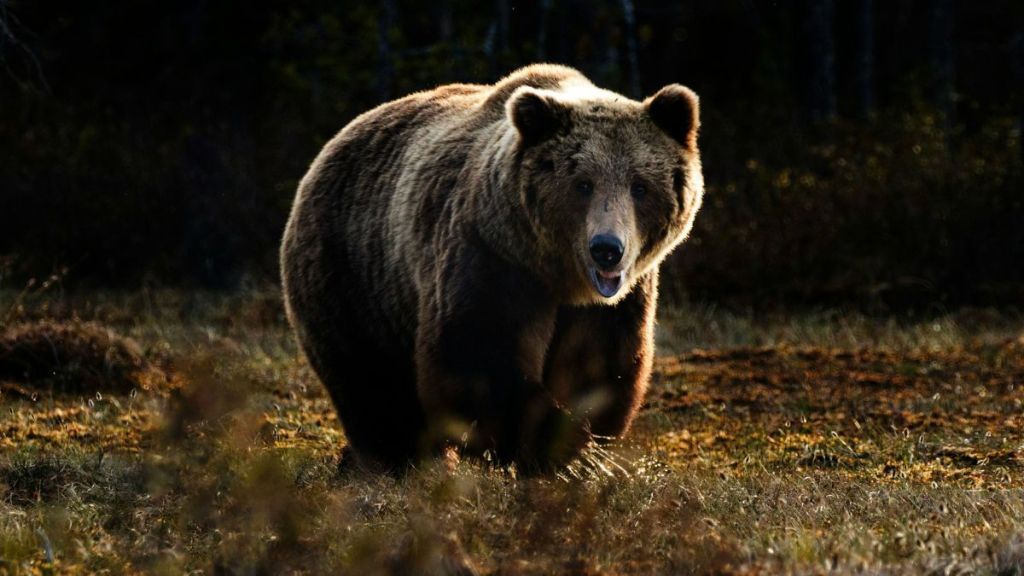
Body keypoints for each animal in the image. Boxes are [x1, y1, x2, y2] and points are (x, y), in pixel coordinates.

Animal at [280, 63, 704, 471]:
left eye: (640, 186)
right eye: (582, 184)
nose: (607, 249)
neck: (558, 275)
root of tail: (331, 144)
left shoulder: (616, 302)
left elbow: (599, 366)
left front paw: (581, 445)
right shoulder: (491, 258)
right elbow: (477, 356)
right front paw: (556, 447)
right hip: (353, 274)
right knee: (371, 382)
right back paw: (398, 459)